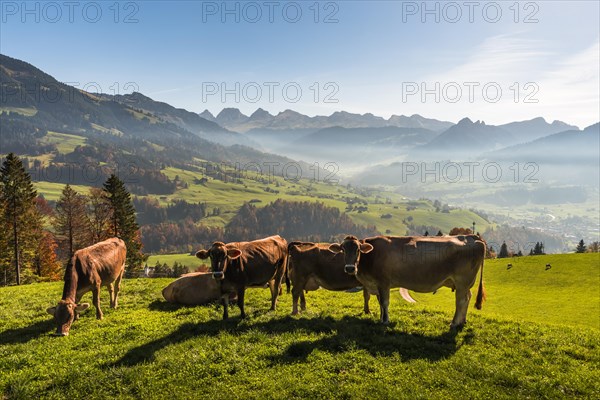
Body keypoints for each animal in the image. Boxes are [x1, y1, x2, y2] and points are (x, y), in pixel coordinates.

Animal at [330, 234, 486, 328]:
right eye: (343, 249)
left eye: (358, 250)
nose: (350, 268)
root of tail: (472, 237)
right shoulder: (377, 285)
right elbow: (380, 303)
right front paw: (380, 318)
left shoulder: (383, 282)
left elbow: (385, 302)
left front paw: (385, 321)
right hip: (465, 284)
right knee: (468, 298)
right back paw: (462, 321)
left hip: (462, 281)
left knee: (461, 301)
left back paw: (454, 323)